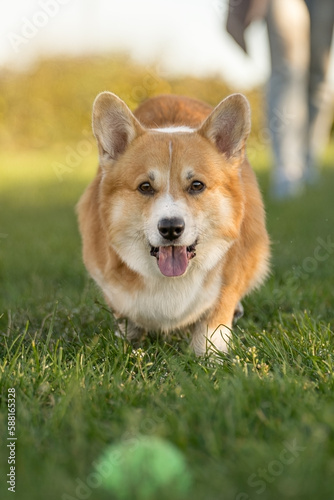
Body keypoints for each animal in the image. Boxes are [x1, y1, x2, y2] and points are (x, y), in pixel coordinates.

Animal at [77, 91, 270, 356]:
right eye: (145, 187)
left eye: (197, 185)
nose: (171, 228)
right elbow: (126, 320)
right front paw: (130, 346)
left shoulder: (228, 284)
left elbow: (213, 325)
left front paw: (211, 358)